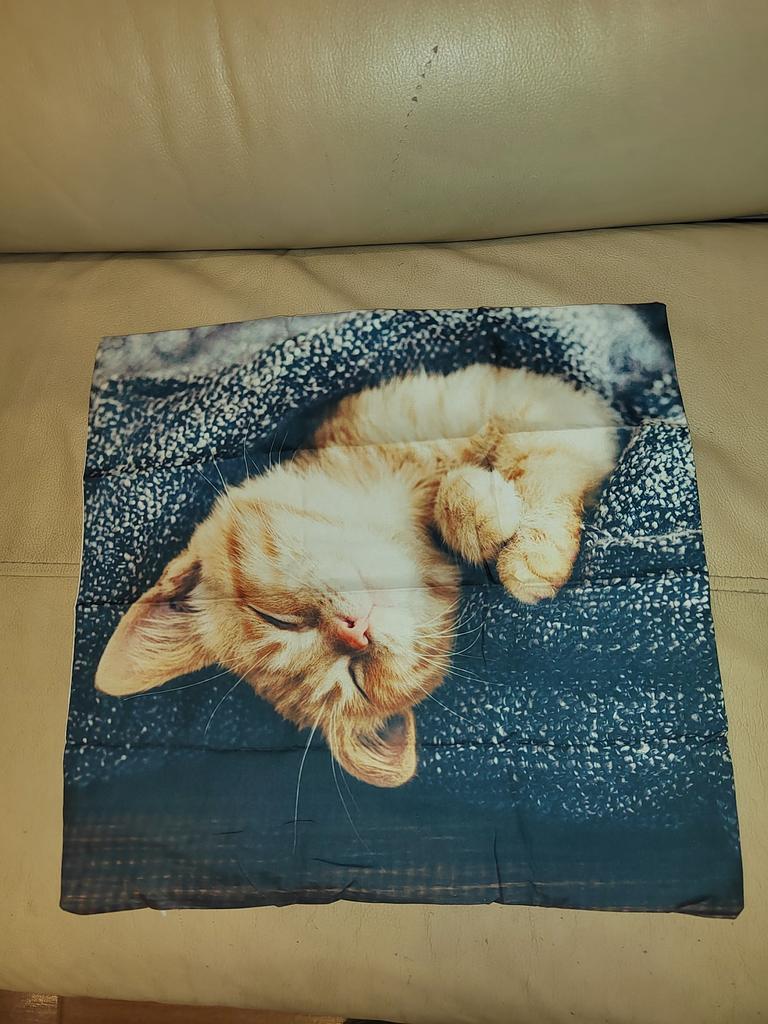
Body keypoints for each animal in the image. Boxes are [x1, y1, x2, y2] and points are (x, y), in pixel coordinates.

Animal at [95, 364, 619, 787]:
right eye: (357, 678)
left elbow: (542, 462)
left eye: (275, 619)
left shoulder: (534, 401)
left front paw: (526, 545)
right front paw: (485, 512)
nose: (355, 634)